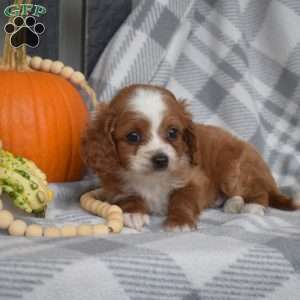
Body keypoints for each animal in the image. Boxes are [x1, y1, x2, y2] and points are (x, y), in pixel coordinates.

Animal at [81, 85, 298, 231]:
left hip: (233, 171)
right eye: (133, 136)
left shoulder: (194, 179)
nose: (161, 160)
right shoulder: (116, 187)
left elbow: (183, 199)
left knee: (260, 192)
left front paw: (180, 222)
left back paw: (252, 207)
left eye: (173, 133)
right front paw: (134, 213)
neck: (152, 179)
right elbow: (129, 196)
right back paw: (232, 204)